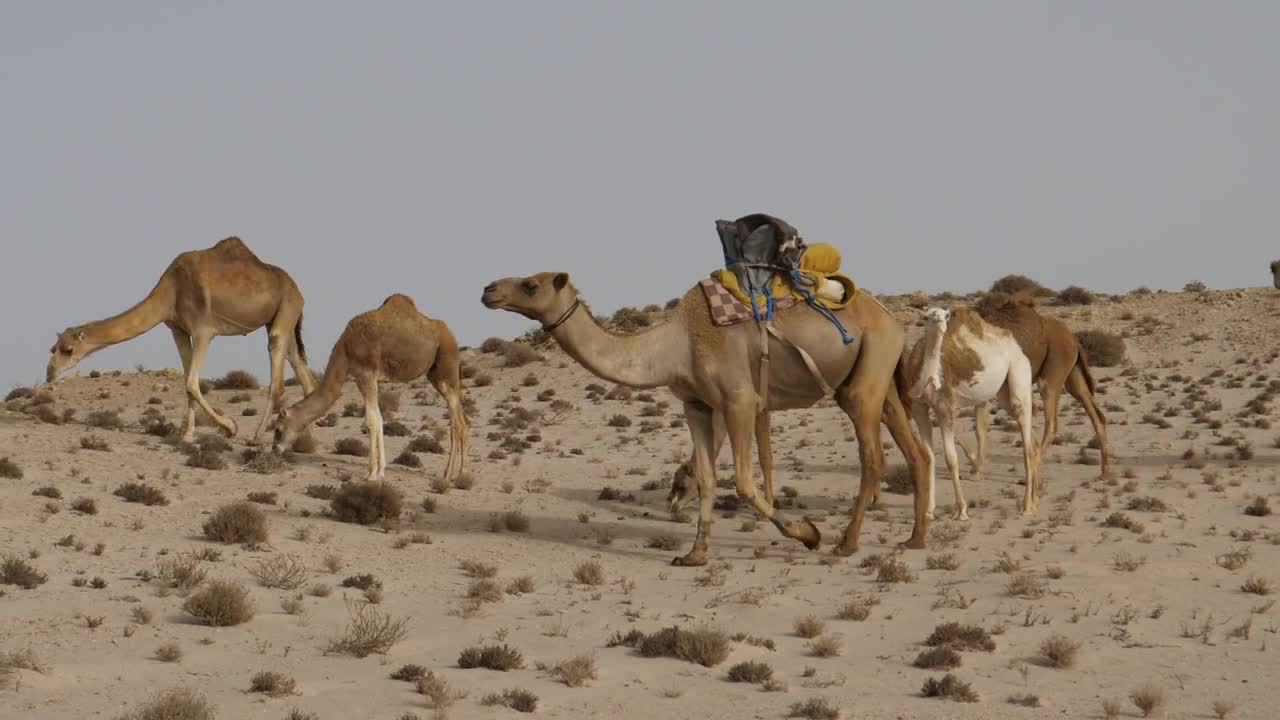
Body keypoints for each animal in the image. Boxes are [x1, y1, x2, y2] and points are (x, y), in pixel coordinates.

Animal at [45, 237, 316, 444]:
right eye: (53, 348)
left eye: (67, 349)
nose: (50, 372)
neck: (170, 292)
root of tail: (298, 290)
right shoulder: (178, 330)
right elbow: (187, 382)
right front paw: (187, 434)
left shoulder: (204, 330)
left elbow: (192, 383)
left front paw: (230, 427)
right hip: (282, 319)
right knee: (301, 368)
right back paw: (305, 437)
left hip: (286, 310)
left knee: (278, 377)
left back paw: (257, 437)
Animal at [272, 294, 469, 483]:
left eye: (278, 429)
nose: (274, 449)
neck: (345, 351)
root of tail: (452, 337)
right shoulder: (361, 379)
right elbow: (379, 419)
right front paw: (380, 471)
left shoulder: (367, 375)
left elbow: (371, 421)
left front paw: (371, 474)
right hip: (435, 375)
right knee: (463, 419)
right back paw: (461, 473)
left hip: (447, 369)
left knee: (457, 423)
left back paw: (450, 475)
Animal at [482, 271, 932, 566]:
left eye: (531, 284)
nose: (488, 289)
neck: (675, 345)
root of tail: (892, 320)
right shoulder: (697, 405)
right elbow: (708, 477)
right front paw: (695, 553)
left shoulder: (740, 400)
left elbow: (745, 482)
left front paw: (808, 534)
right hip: (878, 372)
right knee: (914, 451)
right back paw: (914, 538)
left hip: (864, 377)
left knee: (873, 456)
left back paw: (847, 543)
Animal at [906, 307, 1040, 518]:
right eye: (928, 315)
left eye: (945, 315)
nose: (939, 321)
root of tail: (1016, 345)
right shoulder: (919, 408)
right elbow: (928, 457)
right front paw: (928, 510)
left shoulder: (946, 408)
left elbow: (951, 459)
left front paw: (961, 511)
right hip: (1003, 391)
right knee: (1033, 441)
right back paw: (1035, 503)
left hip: (1019, 371)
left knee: (1027, 443)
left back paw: (1026, 507)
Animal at [972, 291, 1110, 477]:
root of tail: (1073, 339)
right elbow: (980, 428)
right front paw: (976, 471)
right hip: (1073, 375)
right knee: (1095, 412)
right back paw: (1105, 470)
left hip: (1053, 371)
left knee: (1052, 423)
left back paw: (1033, 468)